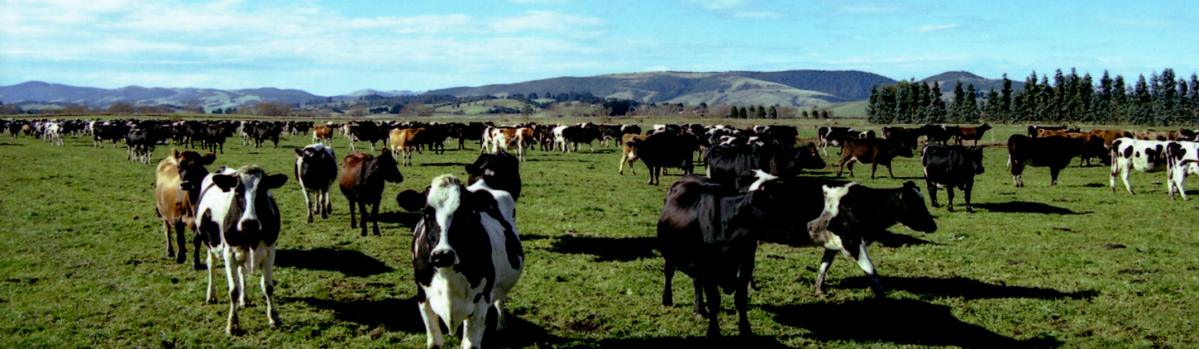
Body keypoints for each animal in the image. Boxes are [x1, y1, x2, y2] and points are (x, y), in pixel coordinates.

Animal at [199, 165, 290, 335]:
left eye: (263, 190)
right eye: (237, 191)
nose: (249, 222)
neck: (251, 237)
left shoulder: (270, 251)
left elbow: (268, 287)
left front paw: (273, 318)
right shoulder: (228, 254)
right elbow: (233, 290)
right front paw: (233, 324)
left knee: (242, 272)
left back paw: (245, 299)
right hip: (209, 244)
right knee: (211, 265)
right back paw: (211, 295)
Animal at [402, 176, 520, 349]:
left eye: (465, 213)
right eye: (426, 212)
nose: (443, 255)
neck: (447, 275)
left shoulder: (480, 303)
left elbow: (471, 345)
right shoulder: (423, 298)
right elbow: (435, 343)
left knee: (500, 301)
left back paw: (501, 328)